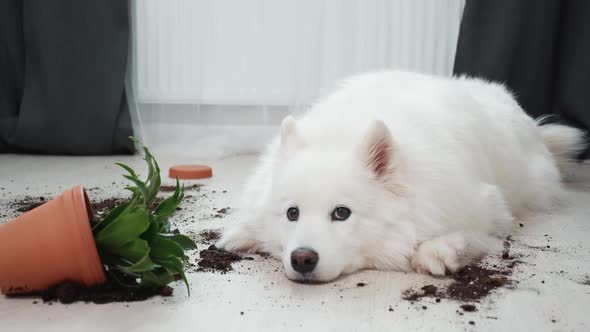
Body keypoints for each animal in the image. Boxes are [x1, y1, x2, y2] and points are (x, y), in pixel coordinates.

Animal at [219, 70, 588, 282]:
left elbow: (470, 231)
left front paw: (438, 250)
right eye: (292, 213)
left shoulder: (488, 206)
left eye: (342, 213)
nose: (302, 258)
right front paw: (243, 232)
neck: (341, 133)